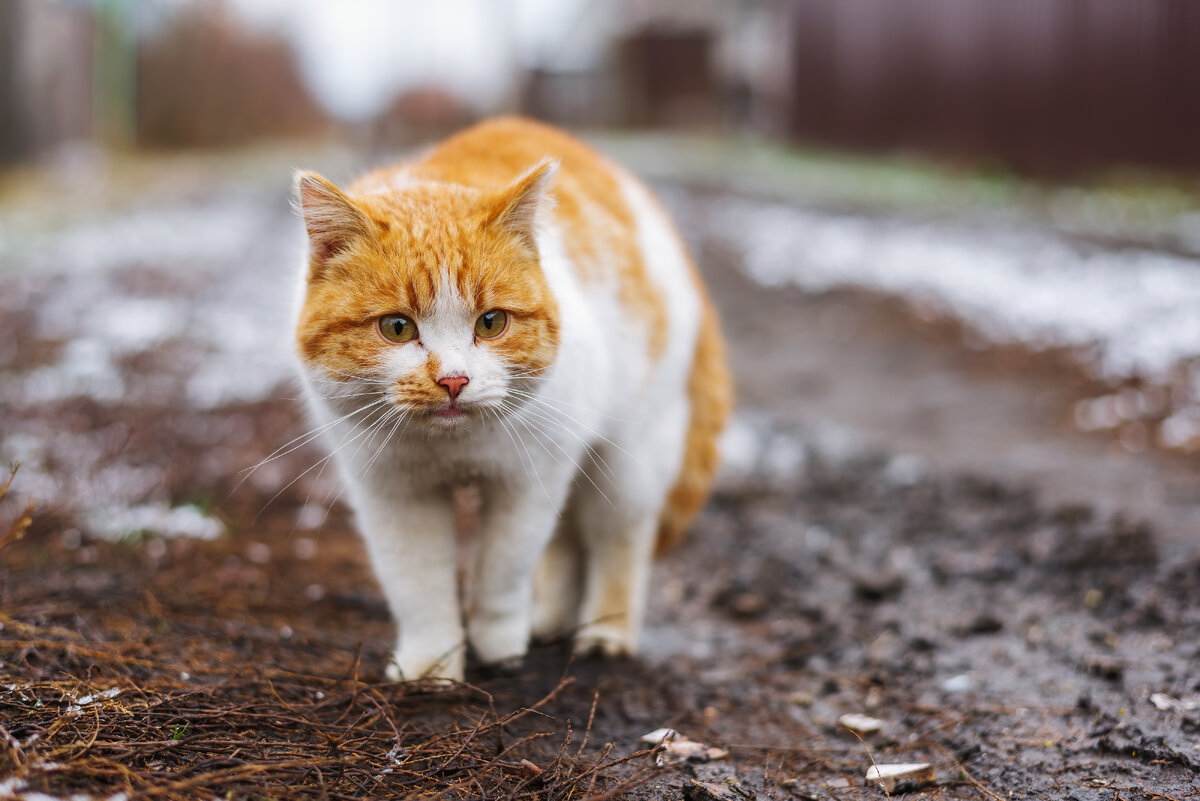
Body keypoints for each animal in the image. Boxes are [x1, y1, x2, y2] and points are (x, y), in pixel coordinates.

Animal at [295, 117, 734, 681]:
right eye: (396, 328)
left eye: (491, 322)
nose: (453, 380)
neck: (453, 449)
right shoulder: (393, 493)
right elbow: (417, 585)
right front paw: (430, 666)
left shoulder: (529, 479)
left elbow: (504, 569)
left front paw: (499, 643)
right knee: (568, 540)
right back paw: (549, 621)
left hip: (627, 460)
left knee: (618, 540)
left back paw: (605, 633)